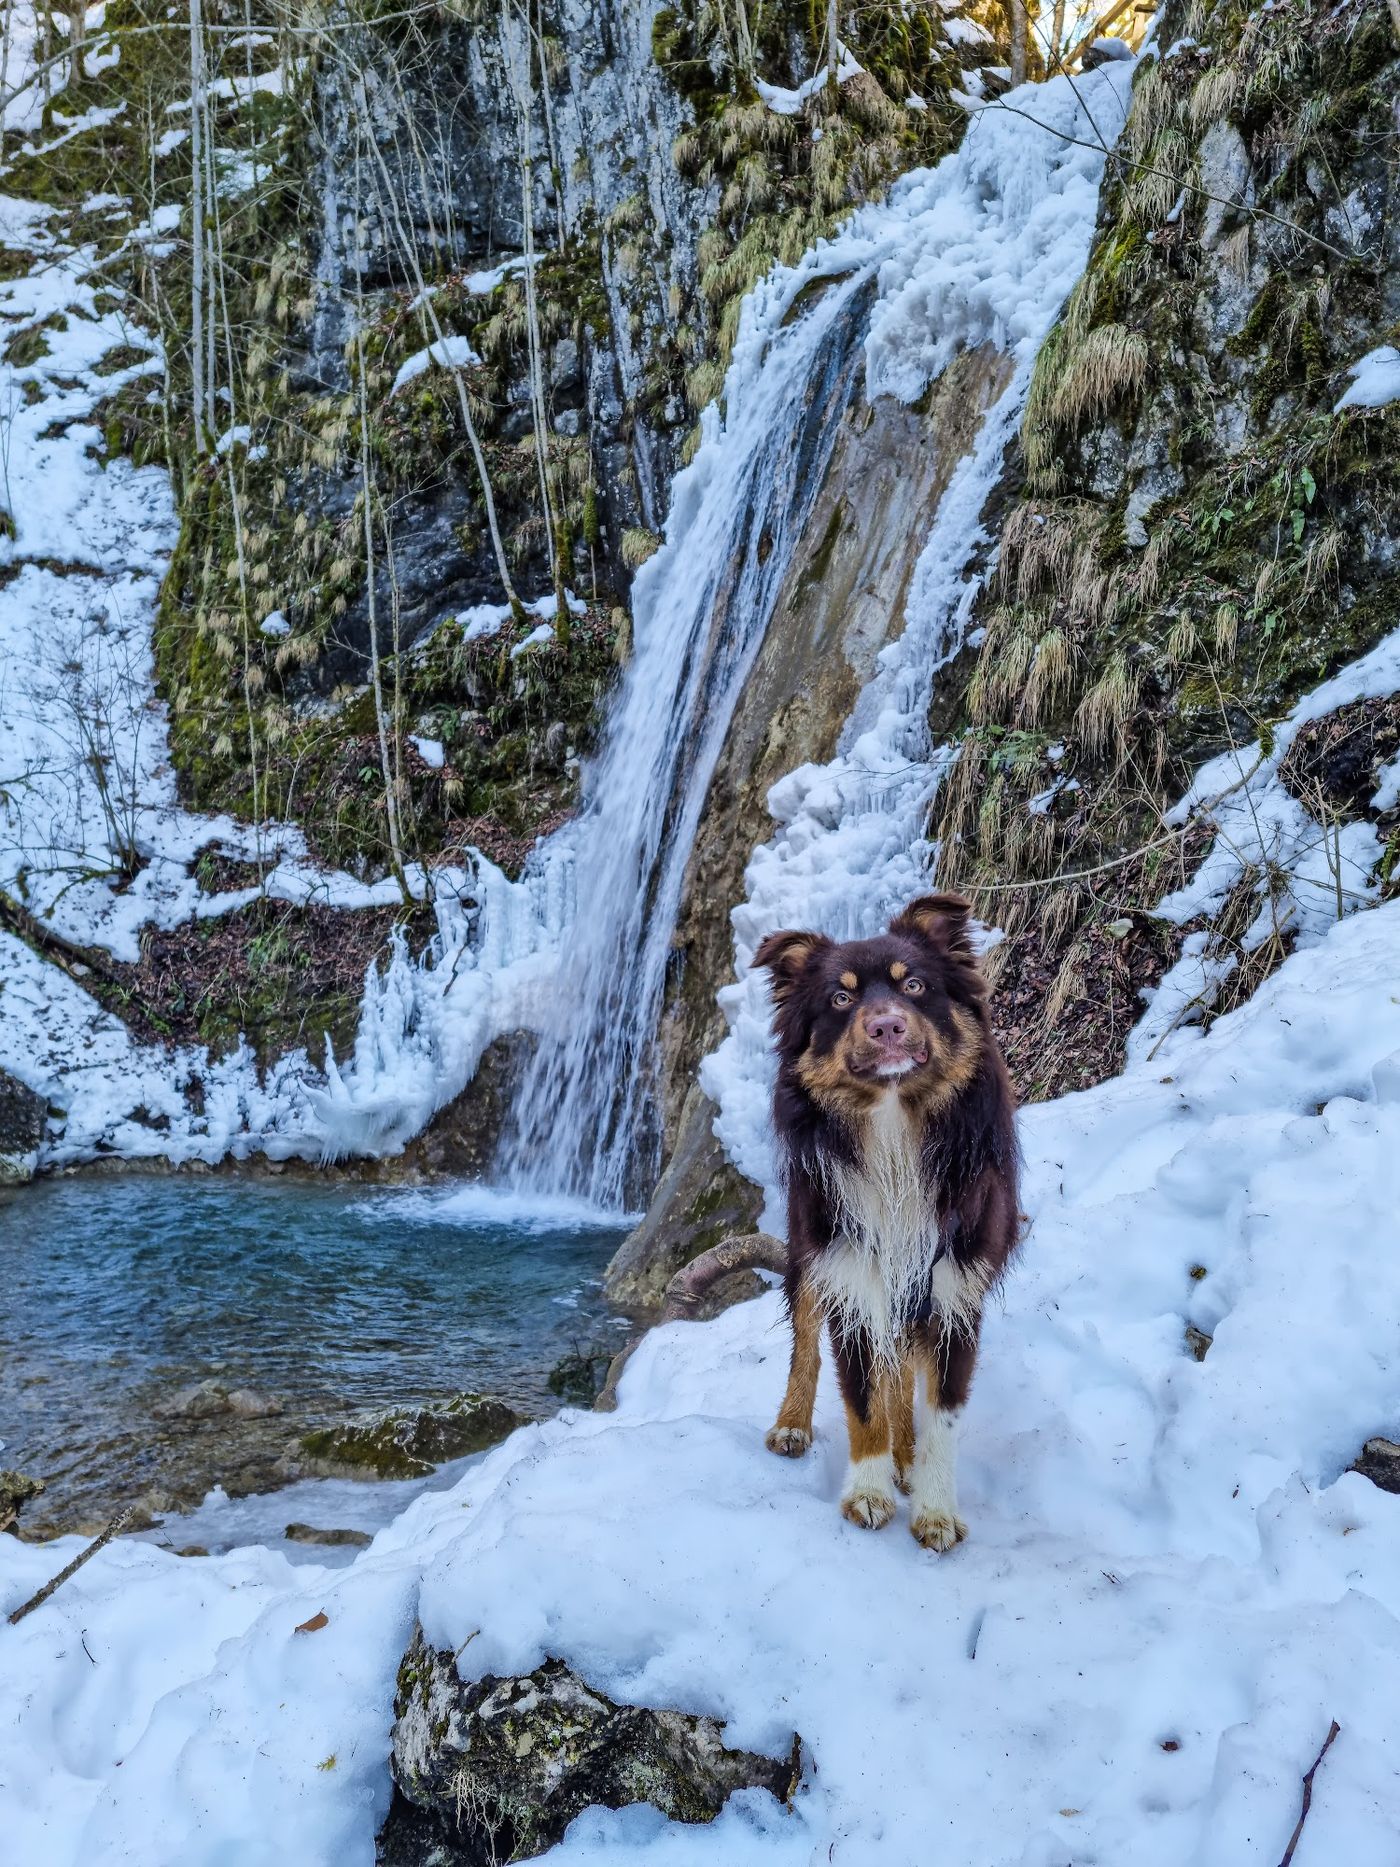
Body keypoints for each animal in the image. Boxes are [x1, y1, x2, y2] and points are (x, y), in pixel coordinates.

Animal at [757, 896, 1022, 1553]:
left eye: (914, 986)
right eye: (840, 998)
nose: (887, 1027)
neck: (894, 1130)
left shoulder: (955, 1292)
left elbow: (942, 1412)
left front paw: (934, 1508)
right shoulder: (850, 1276)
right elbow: (862, 1400)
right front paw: (868, 1494)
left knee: (901, 1366)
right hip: (811, 1240)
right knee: (807, 1336)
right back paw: (793, 1425)